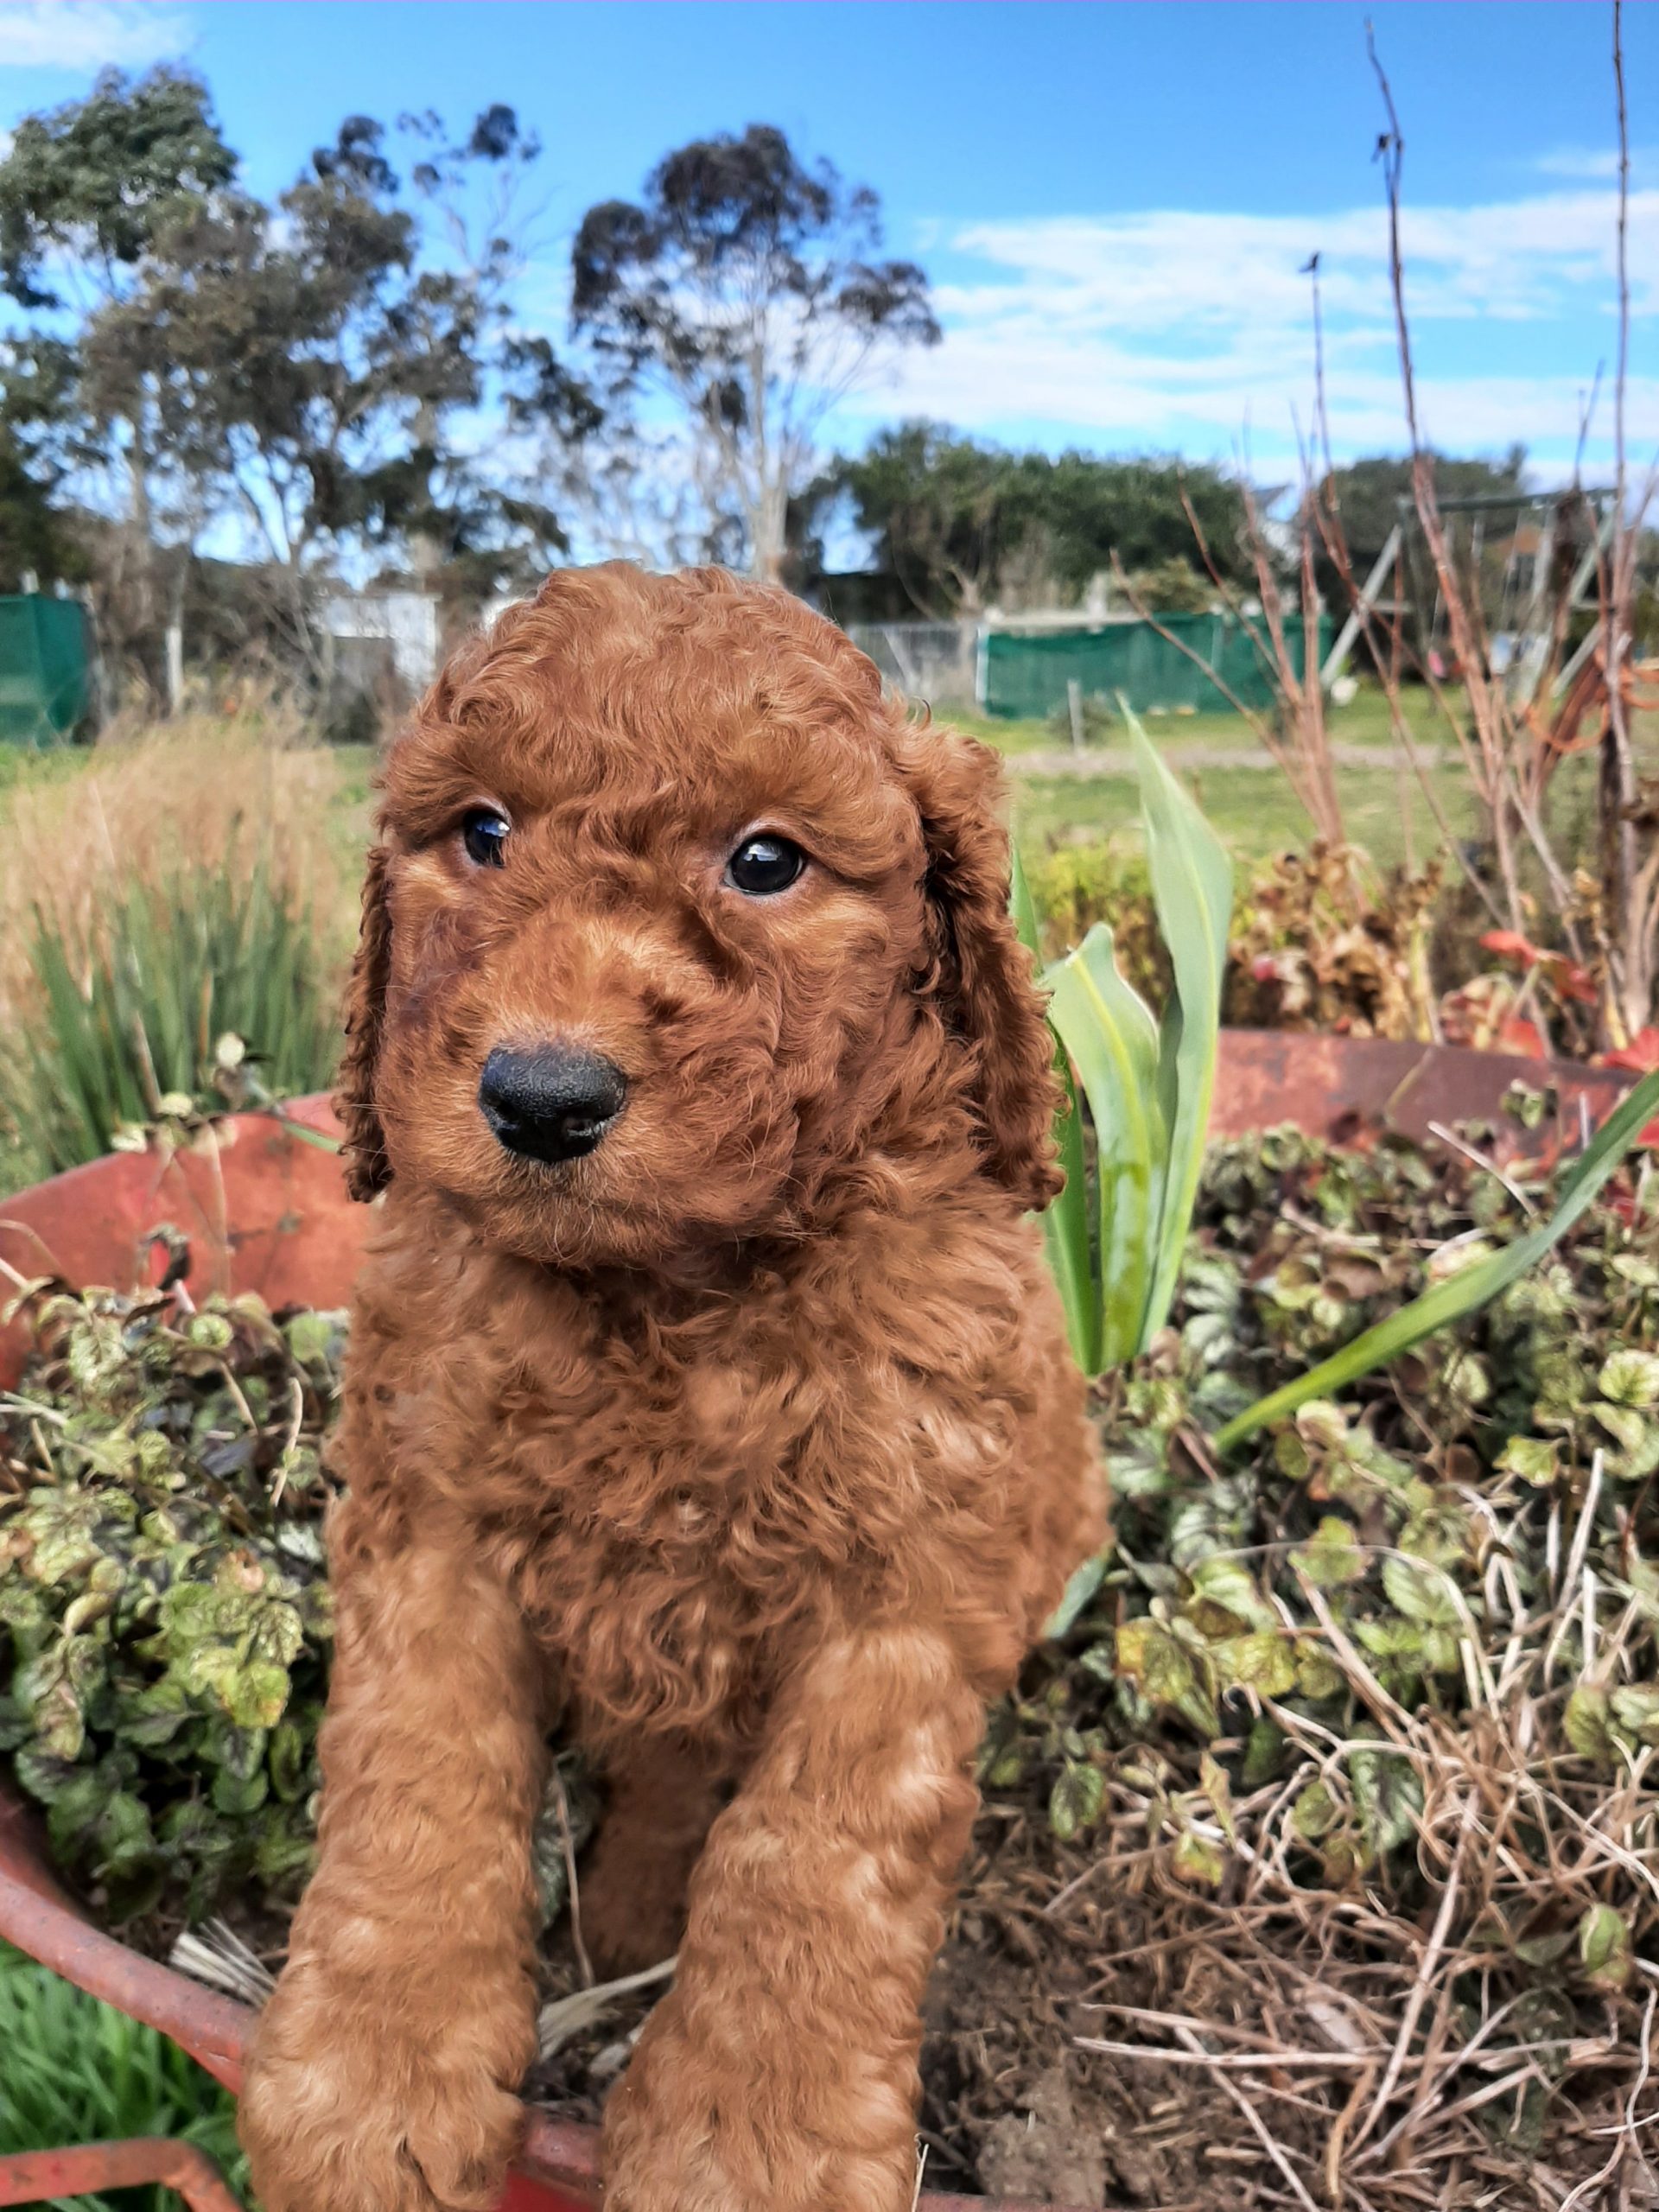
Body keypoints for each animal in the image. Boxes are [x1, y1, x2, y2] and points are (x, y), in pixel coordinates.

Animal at [239, 563, 1102, 2212]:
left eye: (767, 863)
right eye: (483, 832)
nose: (541, 1097)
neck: (666, 1301)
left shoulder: (905, 1591)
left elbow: (812, 1855)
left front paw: (749, 2142)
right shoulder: (428, 1528)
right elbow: (416, 1781)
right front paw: (370, 2086)